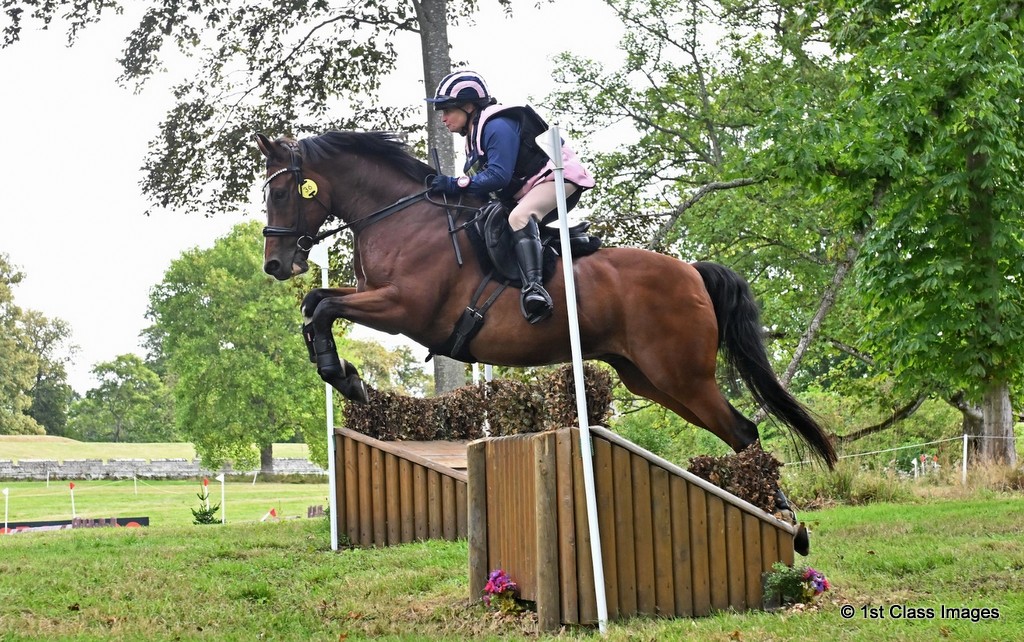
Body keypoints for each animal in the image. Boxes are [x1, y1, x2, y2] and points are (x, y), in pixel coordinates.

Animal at [255, 130, 837, 482]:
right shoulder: (375, 298)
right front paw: (342, 373)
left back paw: (789, 528)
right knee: (735, 431)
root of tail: (692, 271)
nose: (276, 264)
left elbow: (322, 308)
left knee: (744, 432)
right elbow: (316, 303)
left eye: (281, 194)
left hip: (682, 377)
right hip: (650, 380)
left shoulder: (405, 310)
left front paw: (346, 378)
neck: (402, 217)